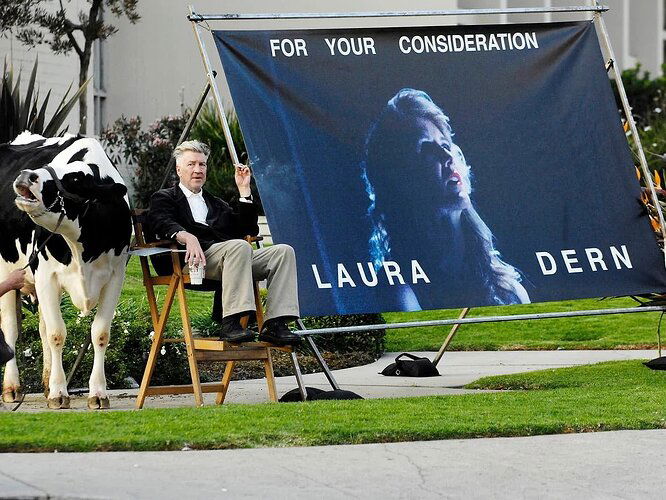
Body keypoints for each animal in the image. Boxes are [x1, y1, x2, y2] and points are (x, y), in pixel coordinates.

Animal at [0, 132, 131, 406]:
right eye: (48, 165)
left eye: (75, 179)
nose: (26, 175)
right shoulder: (46, 276)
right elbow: (57, 334)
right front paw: (59, 393)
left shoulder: (115, 278)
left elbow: (100, 334)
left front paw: (98, 393)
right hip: (5, 271)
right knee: (10, 330)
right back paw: (12, 388)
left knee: (41, 329)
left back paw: (46, 382)